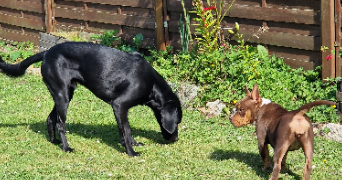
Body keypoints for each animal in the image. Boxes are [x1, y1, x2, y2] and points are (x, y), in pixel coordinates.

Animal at [0, 41, 182, 156]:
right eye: (178, 122)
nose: (176, 139)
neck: (151, 83)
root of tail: (47, 52)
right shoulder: (119, 105)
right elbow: (126, 130)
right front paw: (131, 152)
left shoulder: (122, 110)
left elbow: (126, 130)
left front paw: (133, 143)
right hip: (63, 96)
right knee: (60, 124)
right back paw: (66, 148)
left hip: (64, 95)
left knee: (50, 118)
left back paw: (53, 141)